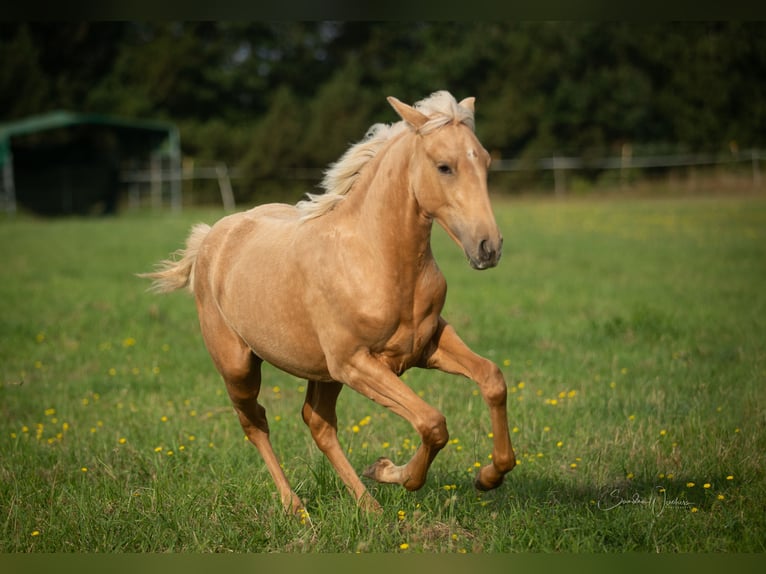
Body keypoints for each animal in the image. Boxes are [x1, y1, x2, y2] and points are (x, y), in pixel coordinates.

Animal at [142, 92, 520, 516]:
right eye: (444, 166)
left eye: (485, 161)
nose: (488, 247)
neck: (376, 259)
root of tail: (212, 236)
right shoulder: (354, 363)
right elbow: (432, 422)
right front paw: (393, 472)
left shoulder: (426, 345)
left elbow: (492, 380)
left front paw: (487, 477)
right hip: (239, 367)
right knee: (255, 422)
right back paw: (297, 508)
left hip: (321, 374)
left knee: (318, 423)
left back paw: (367, 505)